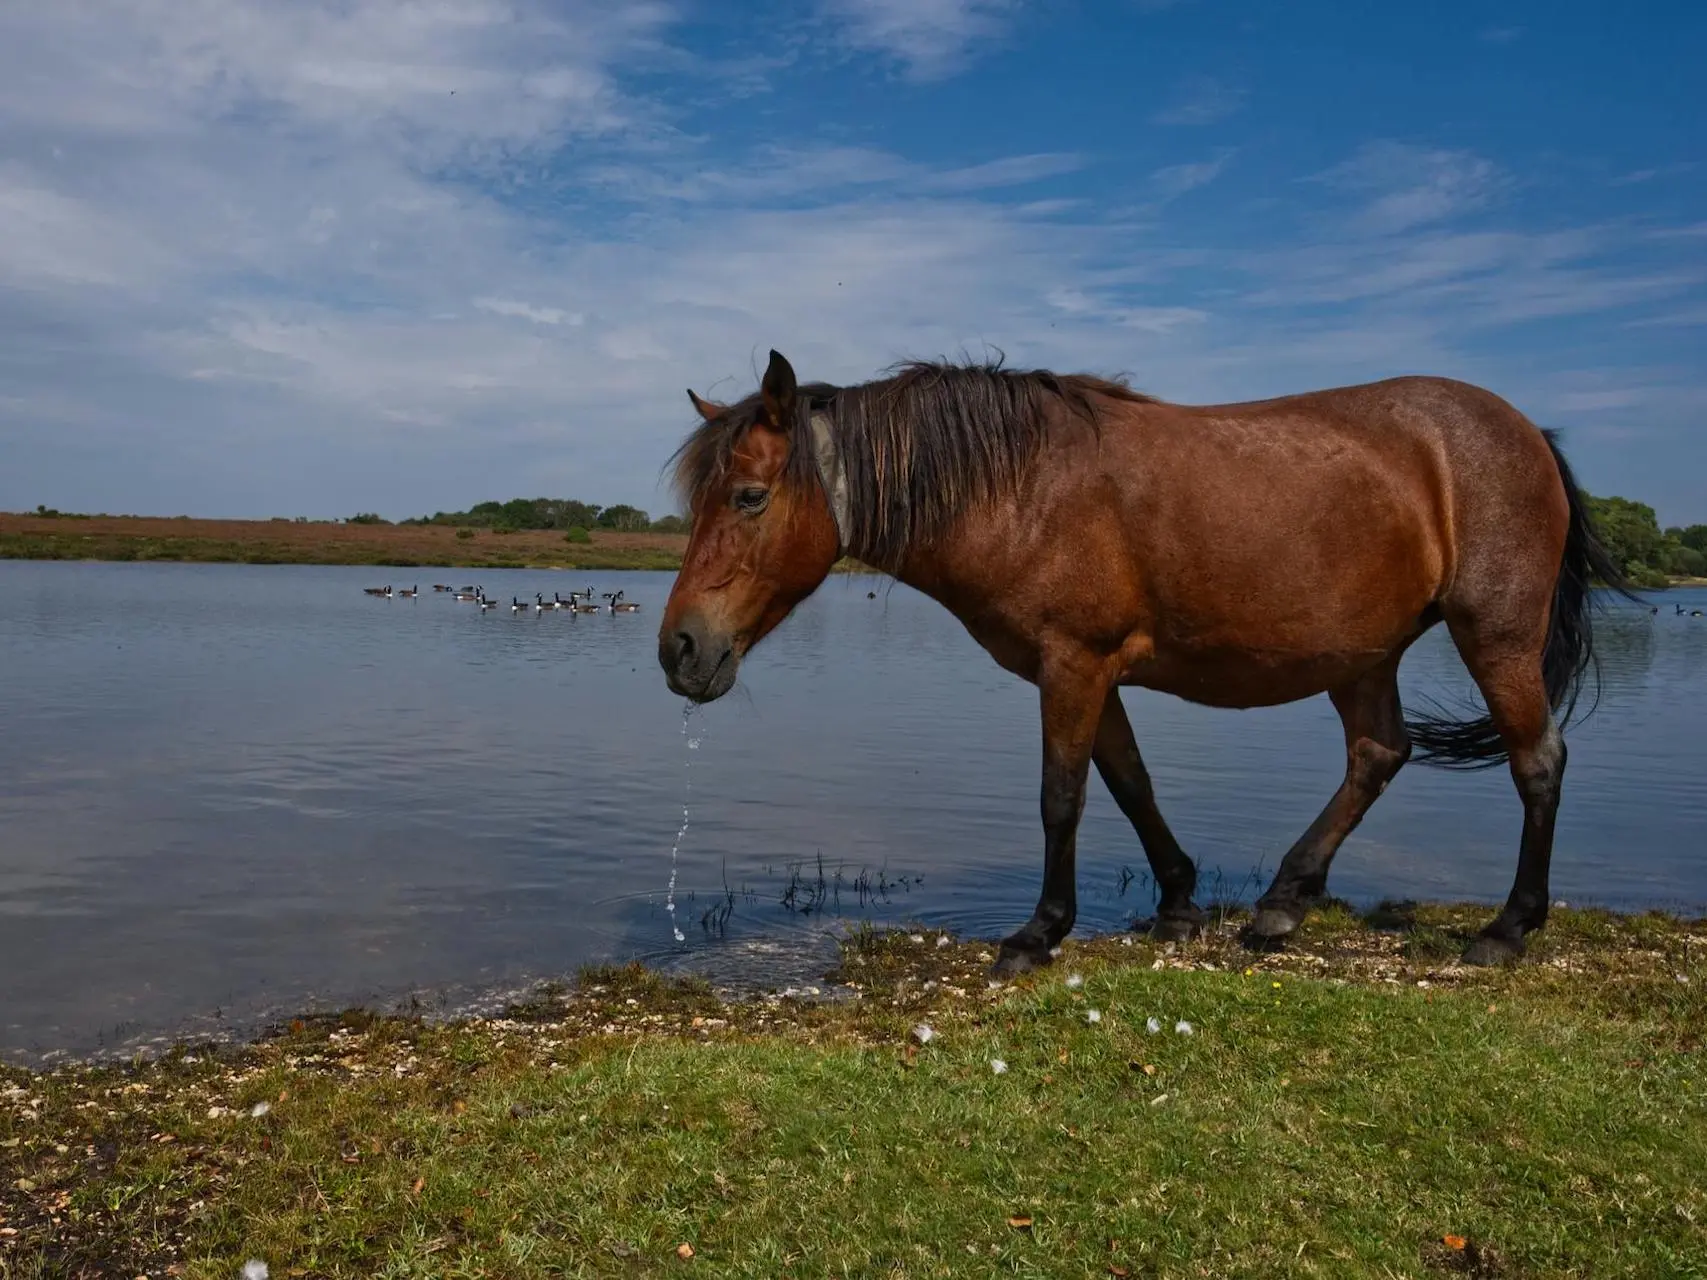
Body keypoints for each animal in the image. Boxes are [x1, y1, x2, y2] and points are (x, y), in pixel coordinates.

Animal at [652, 351, 1625, 969]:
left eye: (748, 497)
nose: (680, 648)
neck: (1020, 489)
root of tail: (1525, 432)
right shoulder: (1091, 672)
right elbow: (1129, 784)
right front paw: (1178, 903)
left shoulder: (1072, 664)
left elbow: (1063, 796)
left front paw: (1038, 933)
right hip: (1362, 654)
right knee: (1376, 754)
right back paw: (1283, 899)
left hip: (1493, 633)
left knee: (1536, 762)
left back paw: (1506, 928)